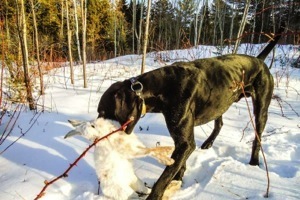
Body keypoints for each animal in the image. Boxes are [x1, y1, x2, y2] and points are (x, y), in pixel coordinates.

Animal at [98, 25, 284, 199]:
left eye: (102, 112)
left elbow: (164, 178)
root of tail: (259, 61)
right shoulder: (181, 141)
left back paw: (253, 162)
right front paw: (179, 178)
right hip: (219, 103)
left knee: (257, 138)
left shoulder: (185, 143)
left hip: (261, 109)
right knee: (220, 123)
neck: (162, 87)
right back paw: (208, 143)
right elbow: (177, 165)